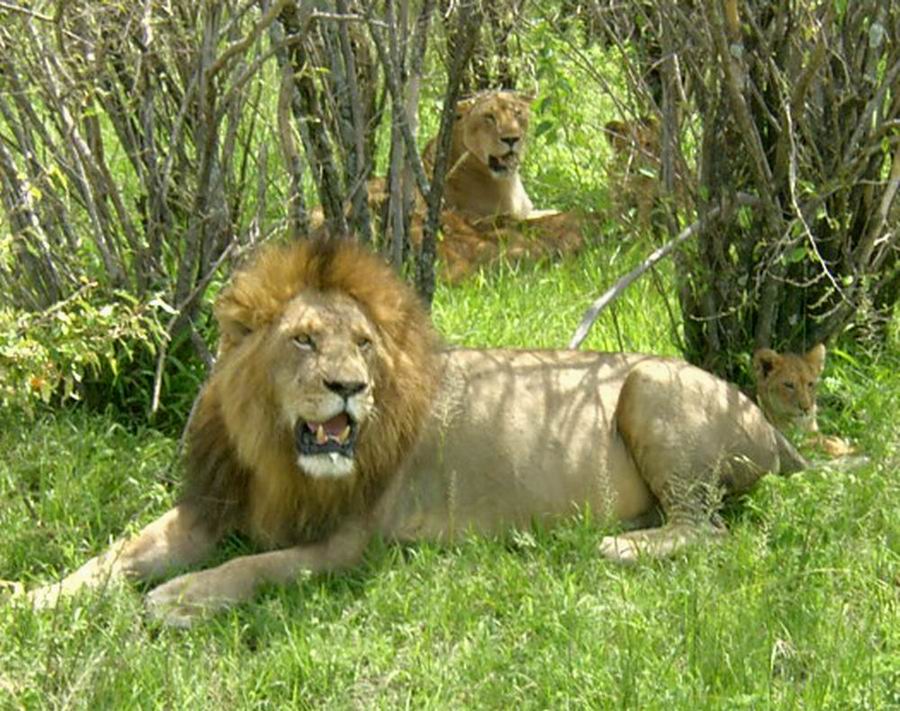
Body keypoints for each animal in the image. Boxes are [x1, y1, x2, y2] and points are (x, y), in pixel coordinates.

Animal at [18, 237, 806, 627]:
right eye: (304, 339)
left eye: (364, 344)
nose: (349, 387)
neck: (274, 457)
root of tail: (770, 422)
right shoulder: (205, 510)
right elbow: (115, 554)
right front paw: (31, 597)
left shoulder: (347, 542)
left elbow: (253, 567)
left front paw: (182, 600)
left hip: (649, 384)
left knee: (708, 528)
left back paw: (617, 545)